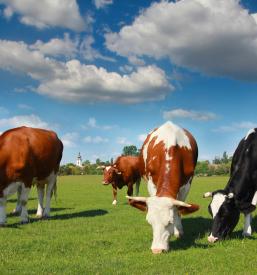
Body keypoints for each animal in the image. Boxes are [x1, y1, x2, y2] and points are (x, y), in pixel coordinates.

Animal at [127, 122, 199, 256]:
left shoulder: (187, 183)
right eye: (149, 222)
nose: (157, 250)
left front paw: (178, 231)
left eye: (169, 222)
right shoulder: (151, 182)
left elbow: (179, 208)